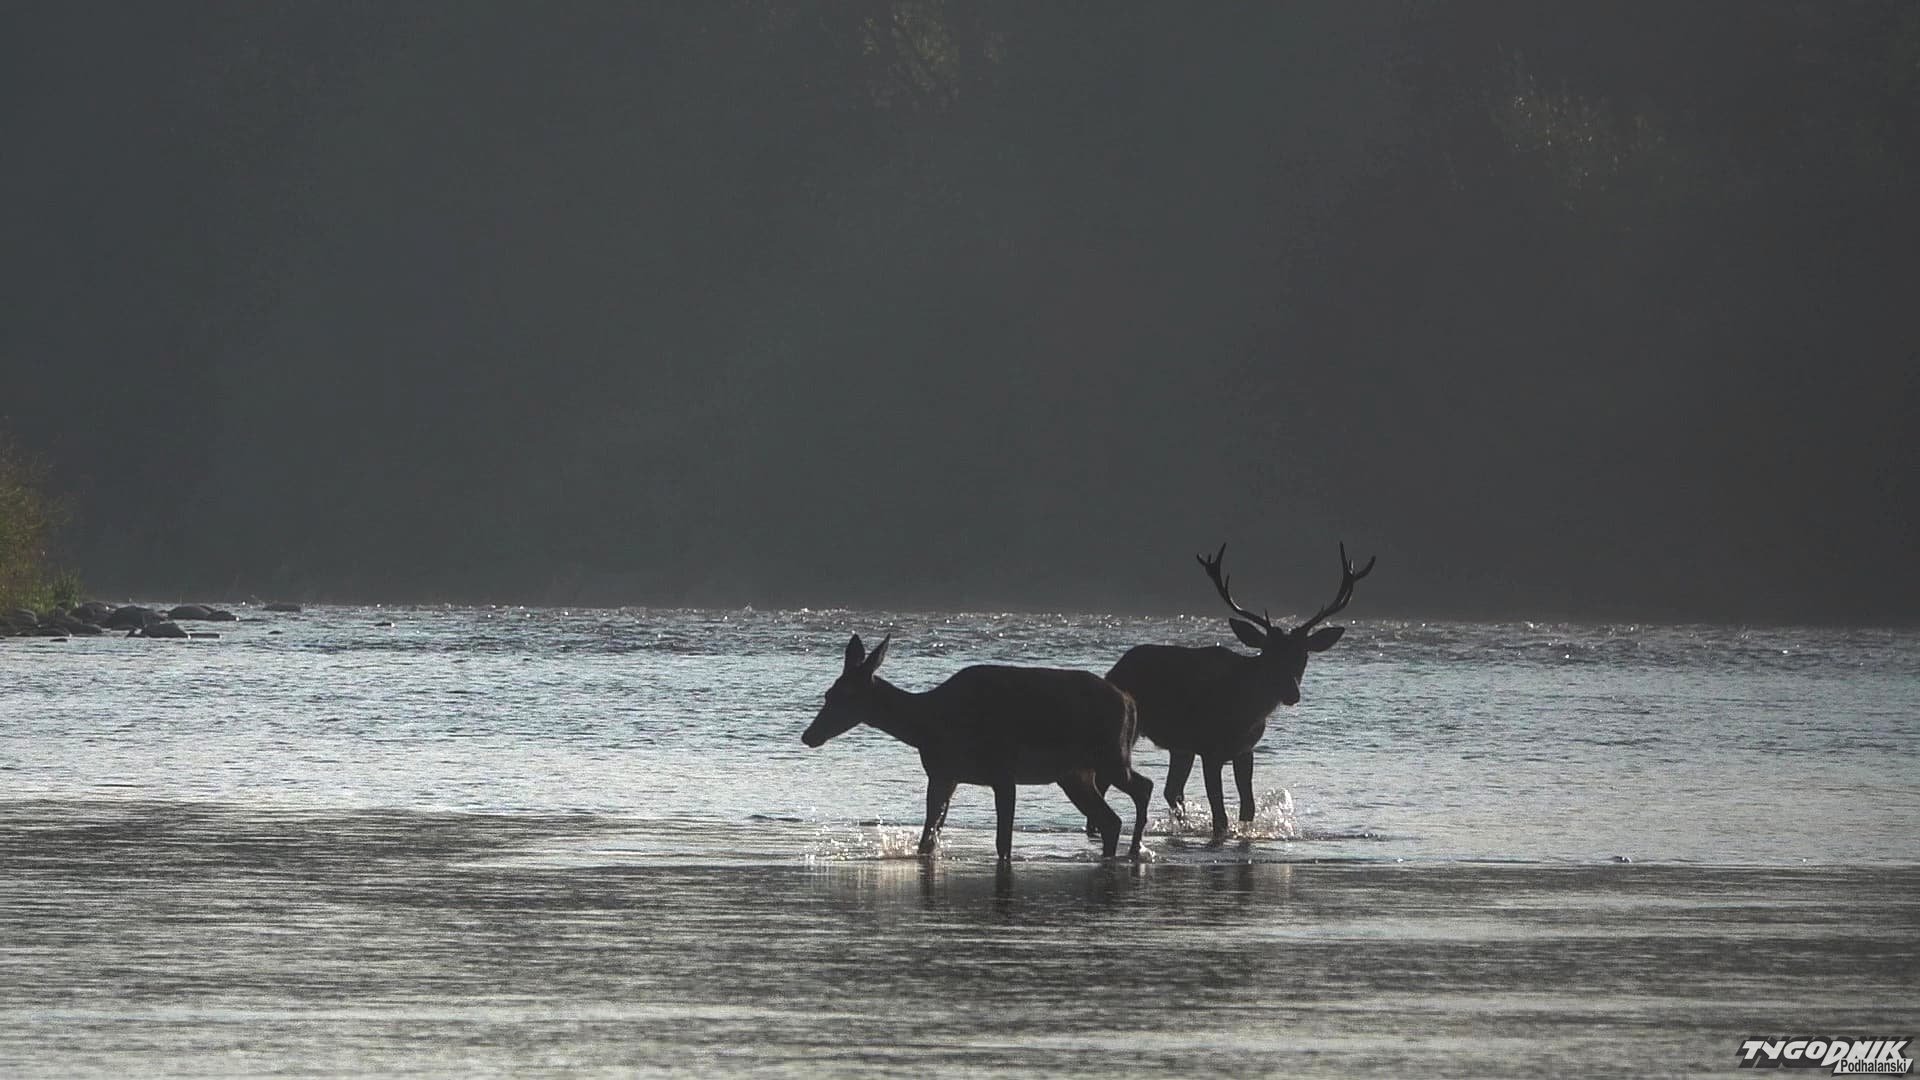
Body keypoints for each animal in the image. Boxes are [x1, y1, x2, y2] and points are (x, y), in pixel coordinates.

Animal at [801, 633, 1156, 861]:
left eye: (844, 696)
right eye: (828, 693)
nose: (808, 736)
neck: (928, 724)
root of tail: (1131, 703)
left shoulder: (1003, 770)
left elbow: (1003, 843)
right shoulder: (944, 775)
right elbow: (927, 840)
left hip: (1111, 755)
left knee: (1143, 787)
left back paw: (1135, 850)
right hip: (1076, 773)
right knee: (1112, 819)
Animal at [1101, 543, 1374, 840]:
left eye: (1303, 656)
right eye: (1269, 655)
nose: (1292, 693)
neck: (1244, 711)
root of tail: (1113, 670)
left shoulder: (1245, 750)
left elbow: (1248, 808)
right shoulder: (1209, 749)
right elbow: (1219, 814)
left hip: (1180, 747)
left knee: (1172, 790)